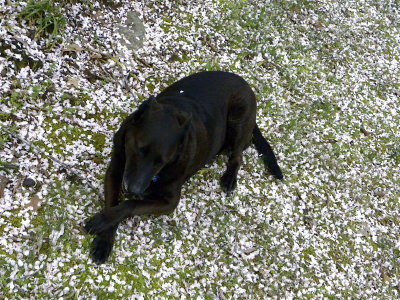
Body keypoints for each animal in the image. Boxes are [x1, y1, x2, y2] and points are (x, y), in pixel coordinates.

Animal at [85, 71, 282, 264]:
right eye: (140, 149)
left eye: (161, 161)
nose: (134, 189)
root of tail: (245, 83)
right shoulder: (115, 172)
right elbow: (113, 202)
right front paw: (104, 239)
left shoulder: (170, 202)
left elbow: (129, 205)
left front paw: (103, 220)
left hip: (238, 121)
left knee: (238, 155)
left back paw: (229, 177)